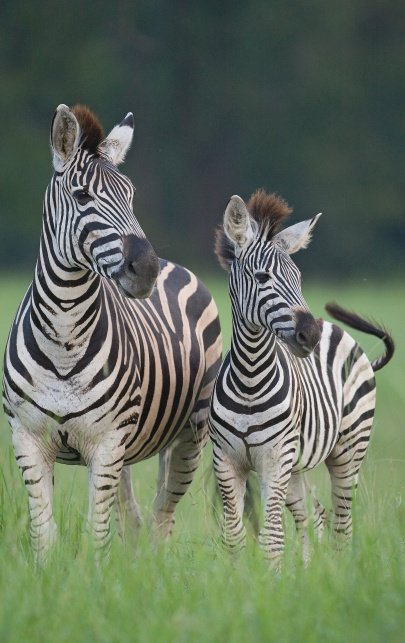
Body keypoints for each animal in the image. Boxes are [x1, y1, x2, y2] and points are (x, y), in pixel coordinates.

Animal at [2, 104, 222, 562]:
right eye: (83, 196)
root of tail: (175, 264)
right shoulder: (28, 440)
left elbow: (95, 534)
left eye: (131, 196)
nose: (147, 269)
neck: (64, 338)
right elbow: (45, 535)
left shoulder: (106, 442)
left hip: (189, 435)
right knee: (134, 519)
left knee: (161, 517)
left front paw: (94, 577)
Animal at [209, 190, 394, 565]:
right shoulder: (227, 461)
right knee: (314, 514)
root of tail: (338, 330)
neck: (250, 378)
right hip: (296, 467)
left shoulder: (274, 459)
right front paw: (240, 578)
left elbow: (272, 539)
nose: (311, 334)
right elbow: (234, 537)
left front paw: (270, 579)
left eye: (298, 278)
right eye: (262, 278)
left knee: (342, 523)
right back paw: (312, 571)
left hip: (347, 452)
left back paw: (340, 570)